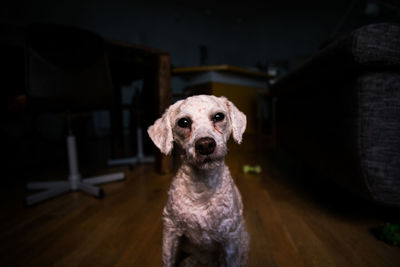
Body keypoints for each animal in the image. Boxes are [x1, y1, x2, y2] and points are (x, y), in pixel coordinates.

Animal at [148, 95, 250, 266]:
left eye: (219, 116)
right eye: (183, 122)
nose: (205, 145)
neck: (201, 188)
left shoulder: (230, 240)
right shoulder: (170, 230)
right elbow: (168, 259)